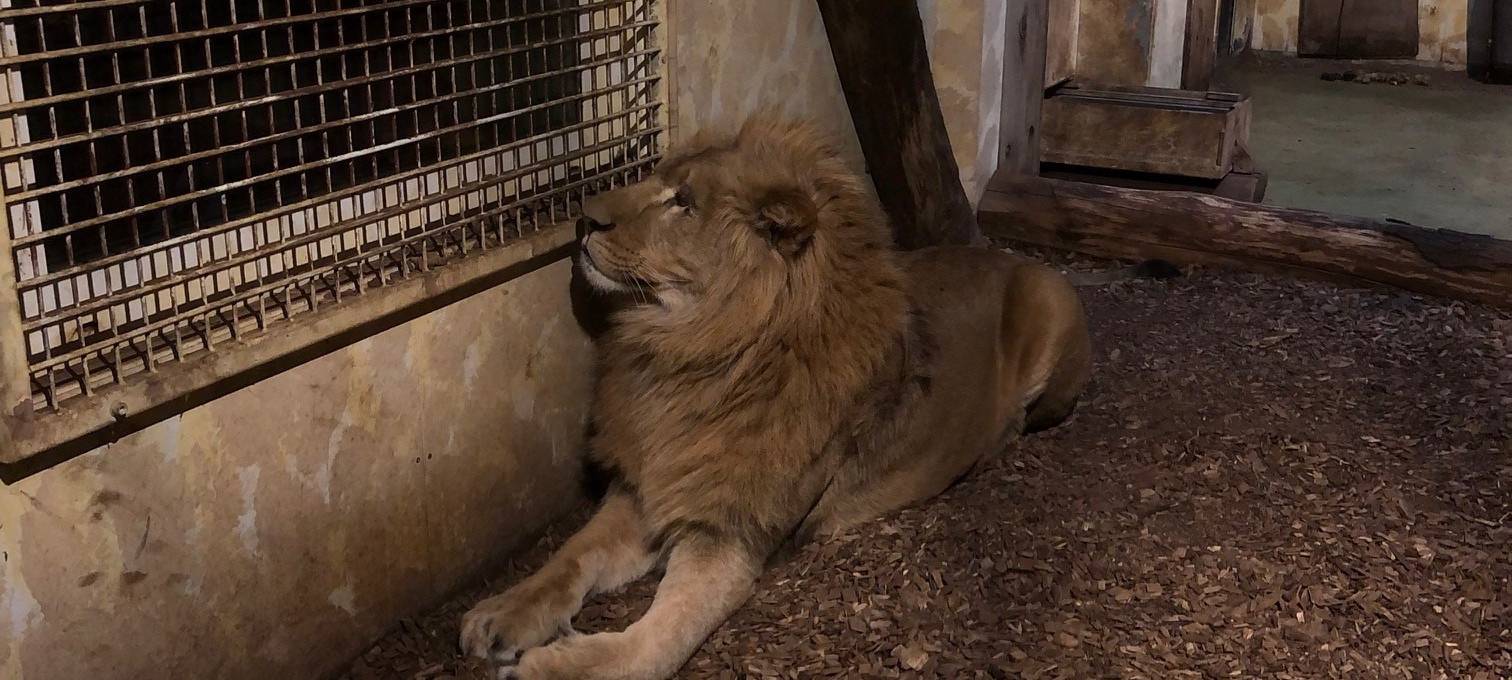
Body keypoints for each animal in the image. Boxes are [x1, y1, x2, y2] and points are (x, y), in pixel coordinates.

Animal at [461, 117, 1101, 679]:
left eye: (683, 202)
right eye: (659, 180)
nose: (582, 220)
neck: (692, 353)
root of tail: (1009, 255)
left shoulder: (731, 534)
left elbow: (657, 641)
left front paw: (553, 665)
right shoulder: (650, 485)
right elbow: (572, 555)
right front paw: (501, 613)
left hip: (1053, 304)